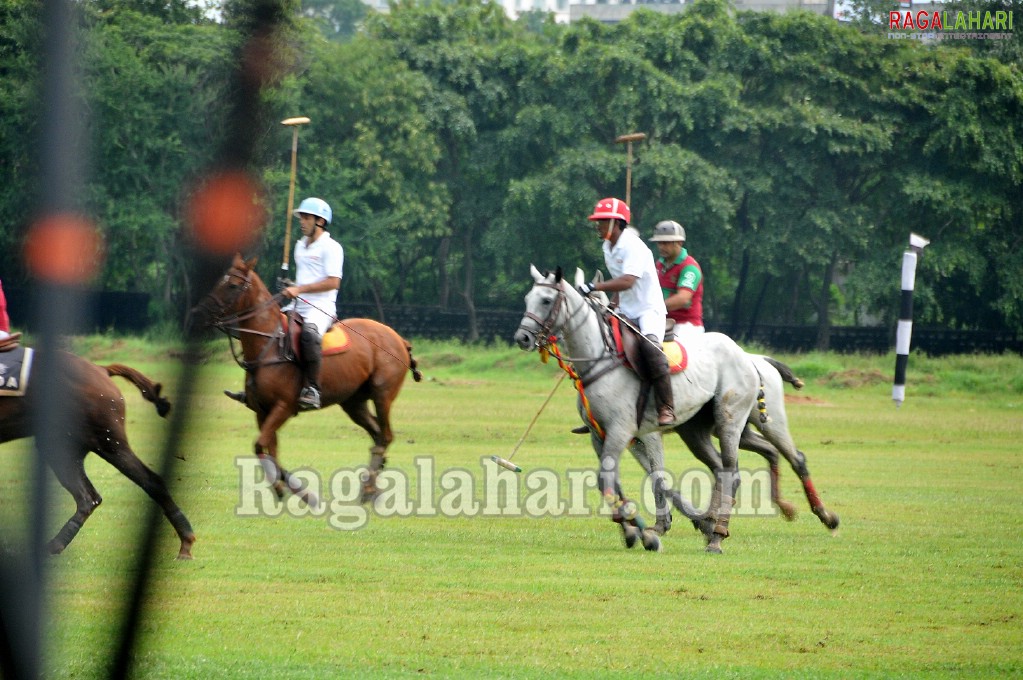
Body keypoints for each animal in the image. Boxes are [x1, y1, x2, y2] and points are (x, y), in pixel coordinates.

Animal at [0, 349, 195, 556]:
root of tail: (102, 370)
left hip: (107, 442)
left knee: (150, 481)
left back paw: (186, 541)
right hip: (66, 448)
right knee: (89, 498)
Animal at [192, 253, 423, 499]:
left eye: (233, 286)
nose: (197, 315)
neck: (268, 346)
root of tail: (401, 340)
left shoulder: (283, 406)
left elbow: (260, 444)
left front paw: (294, 491)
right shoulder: (262, 410)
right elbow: (270, 448)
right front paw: (292, 489)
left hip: (382, 394)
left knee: (386, 435)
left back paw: (368, 488)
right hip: (353, 402)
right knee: (377, 435)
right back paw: (371, 486)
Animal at [515, 265, 765, 552]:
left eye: (546, 300)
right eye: (527, 298)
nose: (522, 338)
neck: (600, 360)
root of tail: (744, 355)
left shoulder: (627, 431)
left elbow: (642, 477)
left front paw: (648, 532)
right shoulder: (600, 435)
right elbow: (615, 481)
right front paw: (634, 530)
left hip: (729, 420)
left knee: (731, 471)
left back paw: (717, 536)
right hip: (695, 430)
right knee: (719, 469)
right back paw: (711, 525)